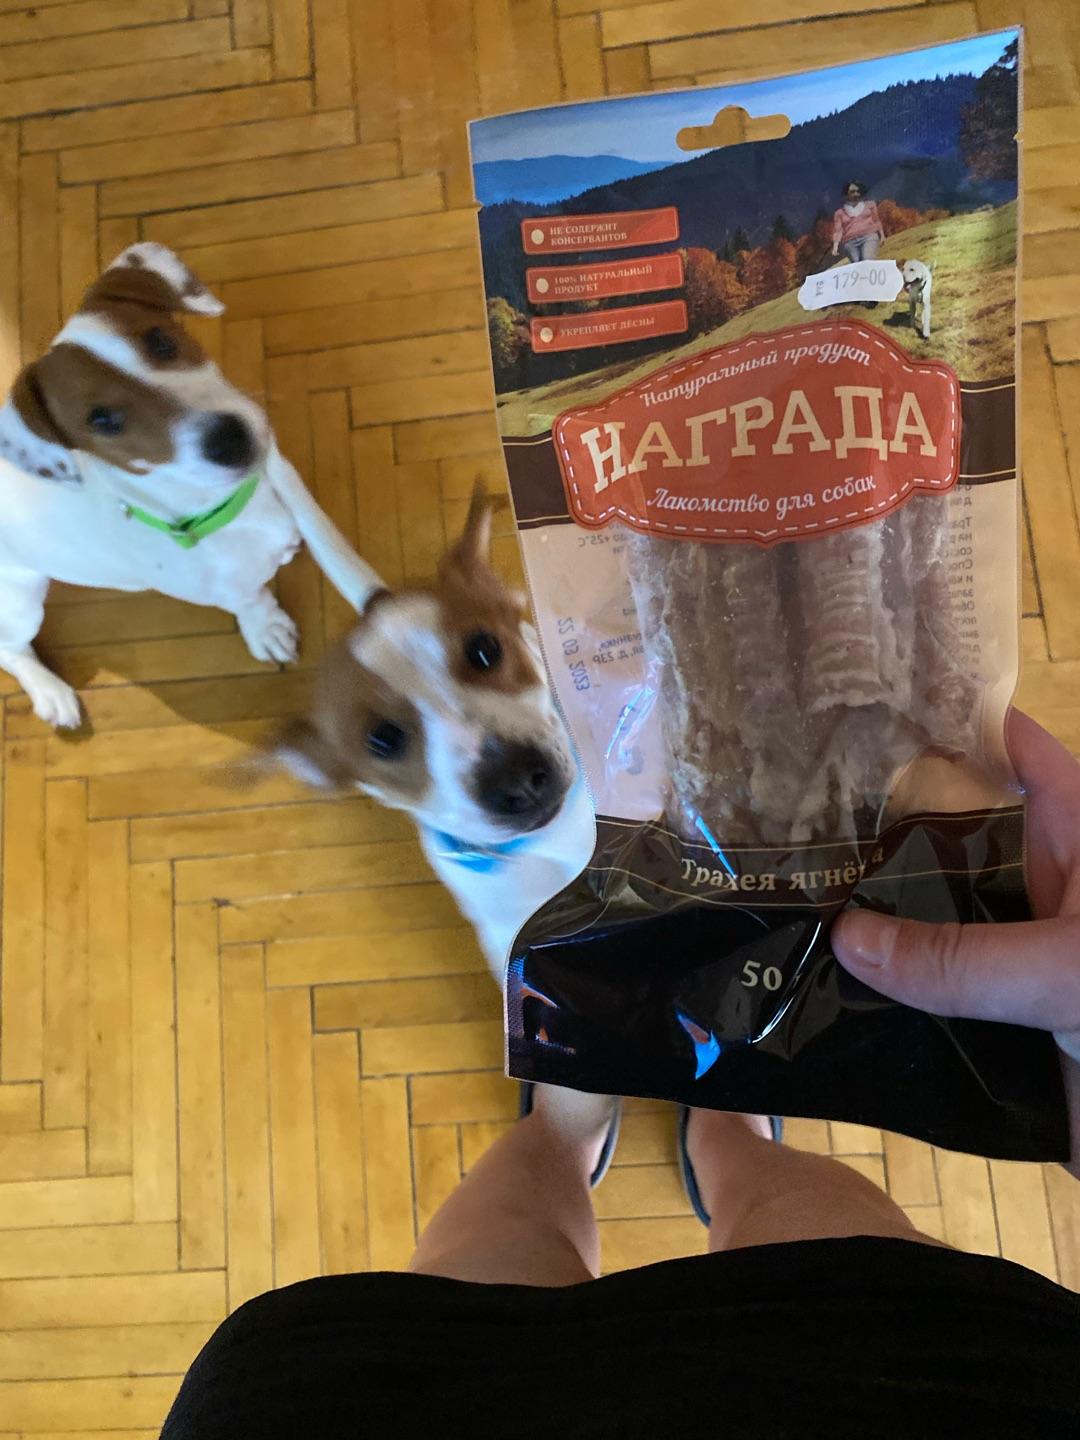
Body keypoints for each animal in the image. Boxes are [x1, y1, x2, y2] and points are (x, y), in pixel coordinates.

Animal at [0, 241, 380, 728]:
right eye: (101, 420)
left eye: (160, 340)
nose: (229, 439)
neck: (230, 505)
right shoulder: (225, 589)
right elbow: (250, 599)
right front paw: (265, 626)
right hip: (20, 601)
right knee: (12, 649)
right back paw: (49, 690)